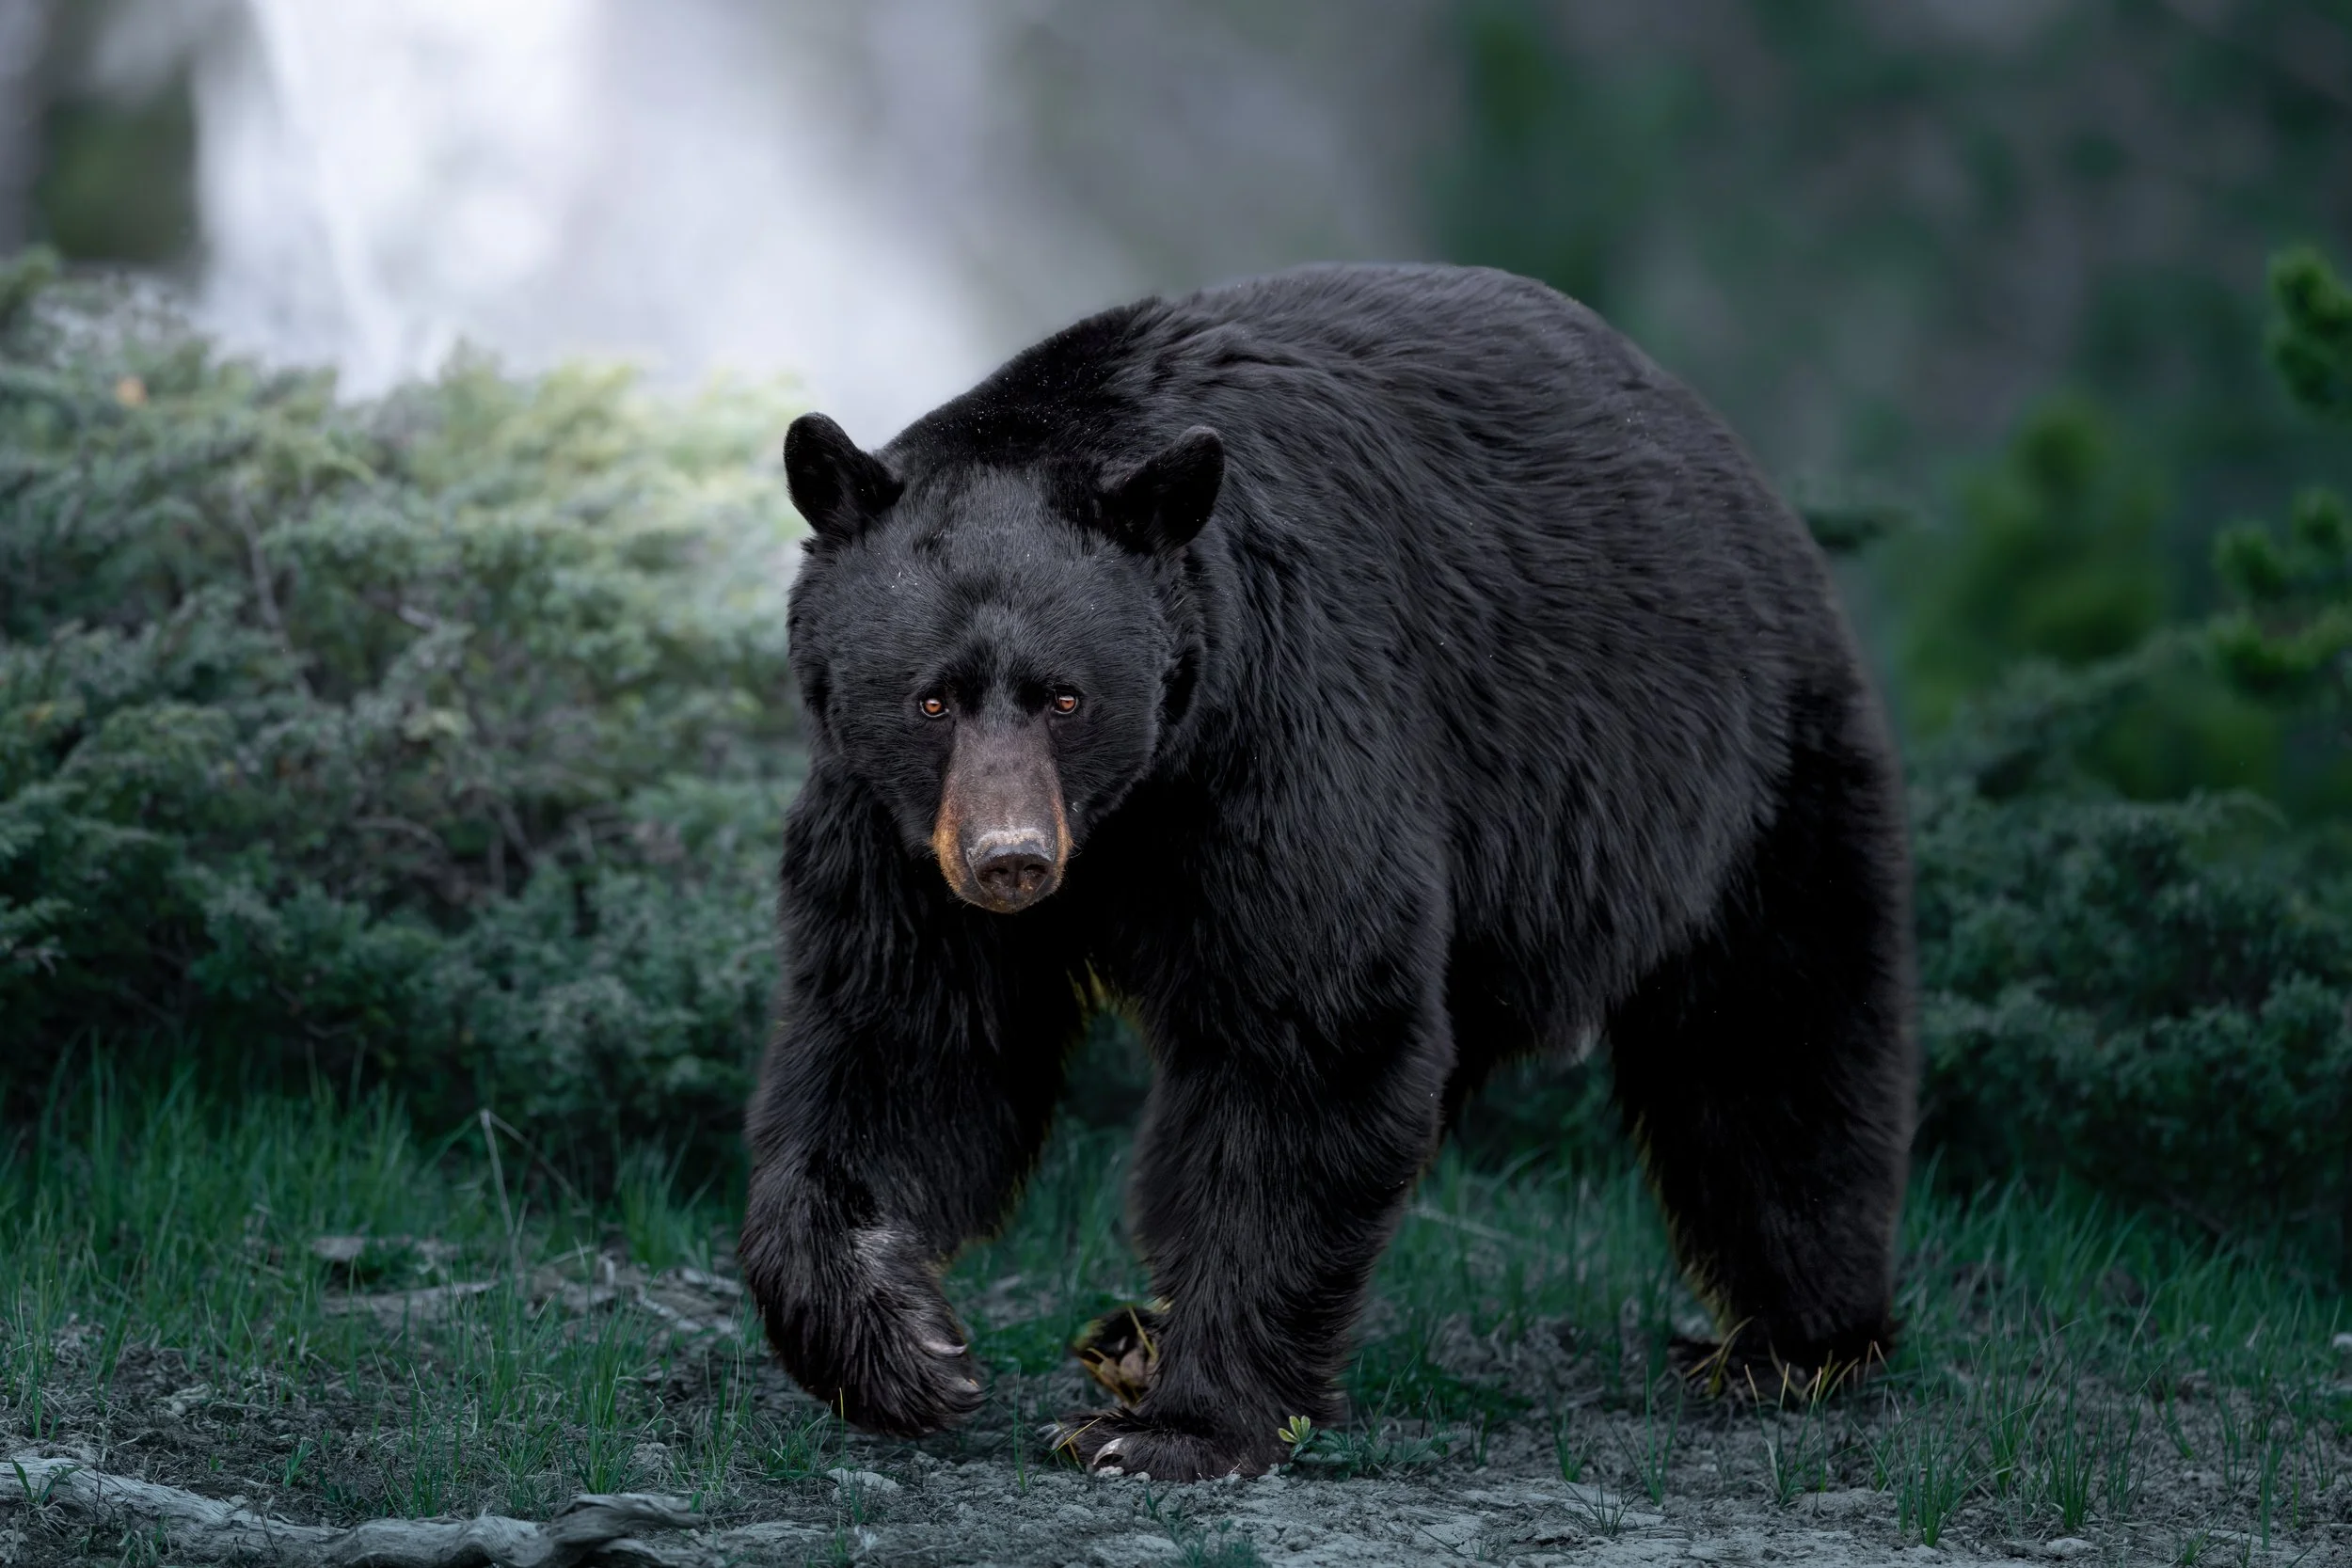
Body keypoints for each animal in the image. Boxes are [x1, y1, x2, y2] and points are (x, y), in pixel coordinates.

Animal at [739, 261, 1917, 1483]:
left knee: (1775, 1036)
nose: (1010, 860)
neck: (1133, 806)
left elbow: (1305, 1028)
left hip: (1725, 769)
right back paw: (1130, 1333)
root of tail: (1730, 458)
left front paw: (1177, 1424)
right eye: (931, 697)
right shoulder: (893, 825)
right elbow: (905, 1039)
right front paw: (901, 1346)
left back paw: (1793, 1339)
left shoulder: (1279, 726)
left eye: (1067, 695)